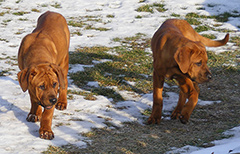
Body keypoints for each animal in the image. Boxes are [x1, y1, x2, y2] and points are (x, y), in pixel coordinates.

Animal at [17, 11, 70, 140]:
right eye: (41, 86)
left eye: (55, 84)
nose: (54, 100)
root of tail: (52, 12)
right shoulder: (28, 83)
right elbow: (33, 99)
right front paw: (34, 113)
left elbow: (48, 114)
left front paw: (46, 131)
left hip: (64, 61)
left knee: (65, 83)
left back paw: (62, 102)